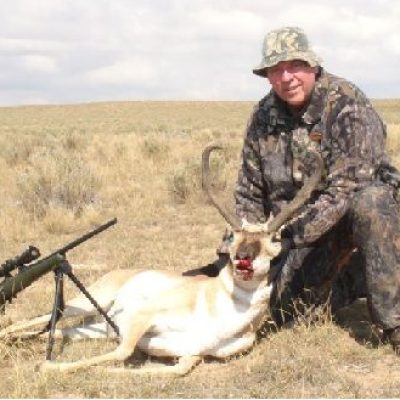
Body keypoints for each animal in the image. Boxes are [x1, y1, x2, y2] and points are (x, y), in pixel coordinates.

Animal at [0, 145, 324, 376]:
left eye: (275, 238)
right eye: (232, 235)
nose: (243, 259)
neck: (220, 314)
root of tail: (126, 271)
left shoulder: (191, 355)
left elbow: (171, 371)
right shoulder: (141, 318)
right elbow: (123, 352)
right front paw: (47, 365)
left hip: (94, 327)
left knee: (52, 330)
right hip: (91, 302)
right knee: (44, 317)